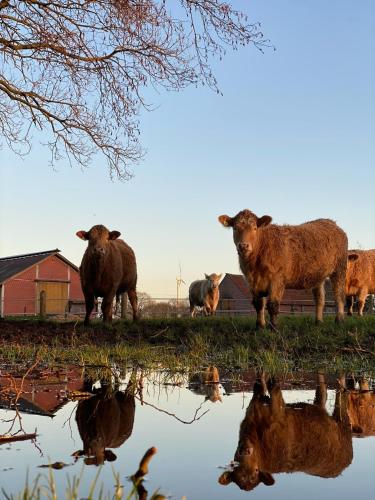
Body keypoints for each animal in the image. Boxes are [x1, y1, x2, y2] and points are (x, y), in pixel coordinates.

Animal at [219, 210, 348, 328]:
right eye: (235, 228)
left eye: (255, 228)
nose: (243, 246)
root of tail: (331, 223)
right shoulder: (251, 281)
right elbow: (259, 304)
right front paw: (260, 326)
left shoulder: (277, 279)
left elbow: (273, 305)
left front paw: (274, 327)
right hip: (318, 276)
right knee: (320, 298)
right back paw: (318, 321)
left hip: (339, 269)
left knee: (339, 295)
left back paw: (339, 320)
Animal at [219, 374, 354, 490]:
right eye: (238, 473)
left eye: (256, 472)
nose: (246, 451)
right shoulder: (253, 408)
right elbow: (258, 387)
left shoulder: (279, 414)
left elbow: (275, 393)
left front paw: (272, 381)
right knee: (322, 392)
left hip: (344, 426)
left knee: (342, 398)